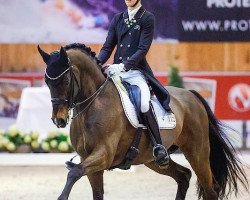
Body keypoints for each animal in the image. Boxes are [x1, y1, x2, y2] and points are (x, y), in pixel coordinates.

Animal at [38, 43, 247, 200]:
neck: (93, 104)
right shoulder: (87, 159)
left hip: (197, 151)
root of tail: (191, 95)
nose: (59, 120)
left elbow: (73, 172)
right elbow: (93, 189)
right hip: (152, 159)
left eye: (65, 81)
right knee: (184, 176)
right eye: (47, 82)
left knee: (210, 188)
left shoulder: (104, 154)